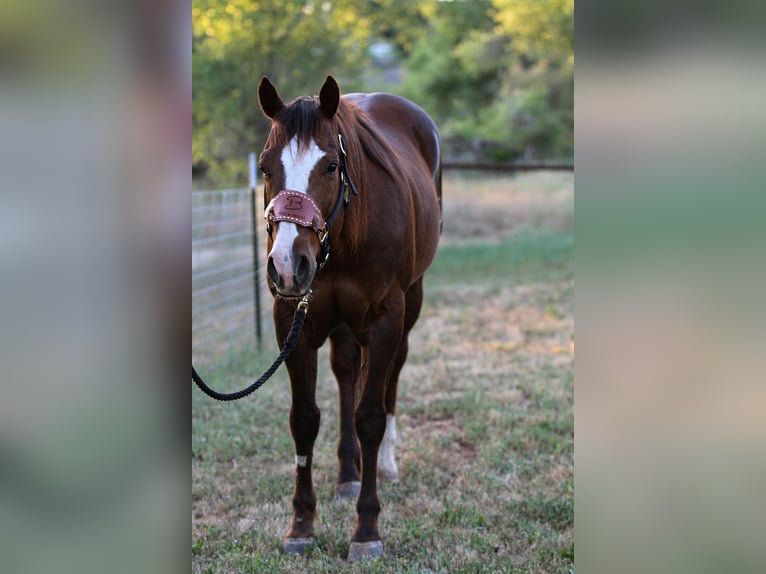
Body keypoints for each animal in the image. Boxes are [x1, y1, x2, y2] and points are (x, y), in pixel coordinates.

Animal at [256, 76, 440, 564]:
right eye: (264, 166)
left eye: (332, 166)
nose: (287, 266)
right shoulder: (293, 323)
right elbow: (304, 419)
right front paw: (301, 525)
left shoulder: (385, 319)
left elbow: (370, 416)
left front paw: (367, 530)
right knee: (344, 373)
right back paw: (347, 473)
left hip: (410, 303)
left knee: (392, 374)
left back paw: (385, 464)